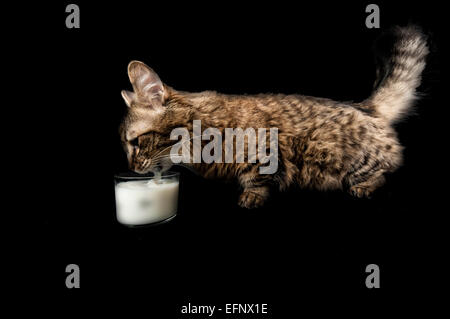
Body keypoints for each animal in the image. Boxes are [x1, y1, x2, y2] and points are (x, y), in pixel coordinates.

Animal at [119, 25, 428, 210]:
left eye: (135, 143)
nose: (132, 168)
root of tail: (365, 106)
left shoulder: (265, 147)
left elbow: (257, 177)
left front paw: (252, 197)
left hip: (343, 156)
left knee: (385, 168)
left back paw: (364, 186)